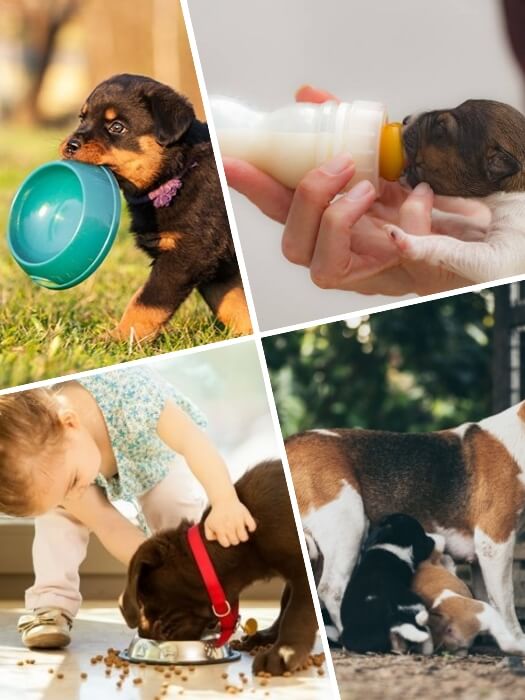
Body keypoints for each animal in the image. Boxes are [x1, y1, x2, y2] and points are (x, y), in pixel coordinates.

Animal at [60, 74, 251, 342]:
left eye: (116, 127)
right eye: (82, 118)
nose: (71, 145)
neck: (178, 174)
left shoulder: (189, 252)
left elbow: (145, 302)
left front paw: (119, 338)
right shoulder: (216, 266)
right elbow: (234, 306)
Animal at [118, 462, 316, 676]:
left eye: (144, 597)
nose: (143, 633)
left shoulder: (302, 569)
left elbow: (295, 611)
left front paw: (283, 652)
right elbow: (285, 603)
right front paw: (268, 637)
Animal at [340, 512, 434, 652]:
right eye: (422, 535)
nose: (433, 540)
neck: (389, 543)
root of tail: (388, 617)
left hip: (355, 636)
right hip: (412, 599)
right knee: (420, 623)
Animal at [382, 99, 524, 284]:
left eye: (439, 129)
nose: (406, 119)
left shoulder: (499, 259)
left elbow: (448, 243)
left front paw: (408, 240)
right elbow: (456, 220)